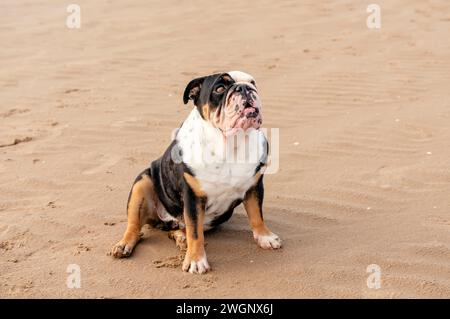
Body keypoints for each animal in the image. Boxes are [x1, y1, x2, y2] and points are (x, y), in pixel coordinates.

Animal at [111, 71, 282, 274]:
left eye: (252, 83)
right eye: (220, 88)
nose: (244, 88)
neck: (230, 143)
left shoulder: (254, 186)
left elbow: (256, 214)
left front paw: (265, 237)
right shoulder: (192, 196)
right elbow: (195, 232)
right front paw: (195, 260)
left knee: (177, 229)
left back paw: (180, 237)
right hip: (142, 182)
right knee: (135, 226)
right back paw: (124, 244)